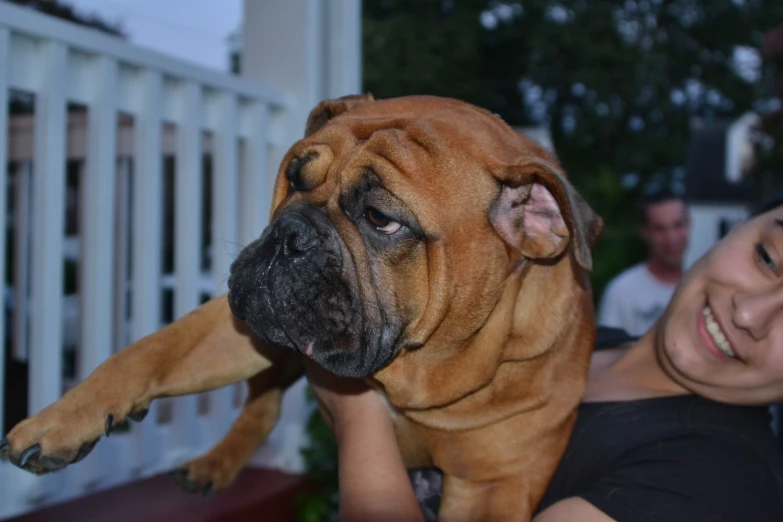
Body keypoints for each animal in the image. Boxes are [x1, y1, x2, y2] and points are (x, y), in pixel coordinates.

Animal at [0, 94, 604, 520]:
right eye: (293, 179)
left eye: (381, 219)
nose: (290, 235)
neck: (416, 374)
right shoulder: (238, 325)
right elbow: (149, 352)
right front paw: (55, 423)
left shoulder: (493, 488)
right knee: (261, 401)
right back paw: (214, 464)